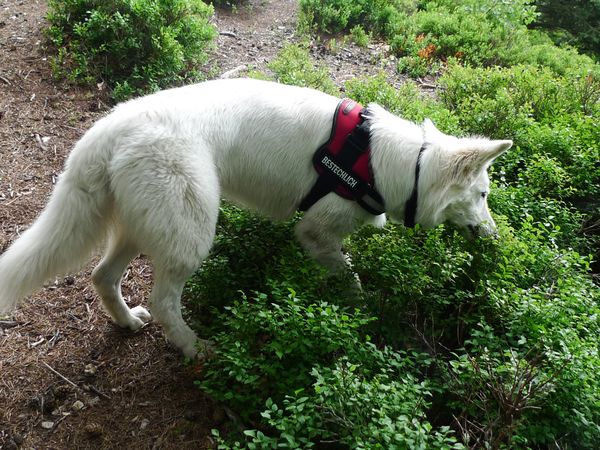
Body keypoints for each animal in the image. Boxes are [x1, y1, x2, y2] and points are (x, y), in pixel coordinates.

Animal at [0, 78, 510, 358]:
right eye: (484, 194)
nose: (494, 237)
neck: (399, 164)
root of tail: (109, 127)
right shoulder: (317, 234)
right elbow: (352, 279)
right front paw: (363, 312)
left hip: (140, 226)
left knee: (103, 277)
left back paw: (127, 322)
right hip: (191, 231)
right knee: (165, 301)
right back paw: (193, 347)